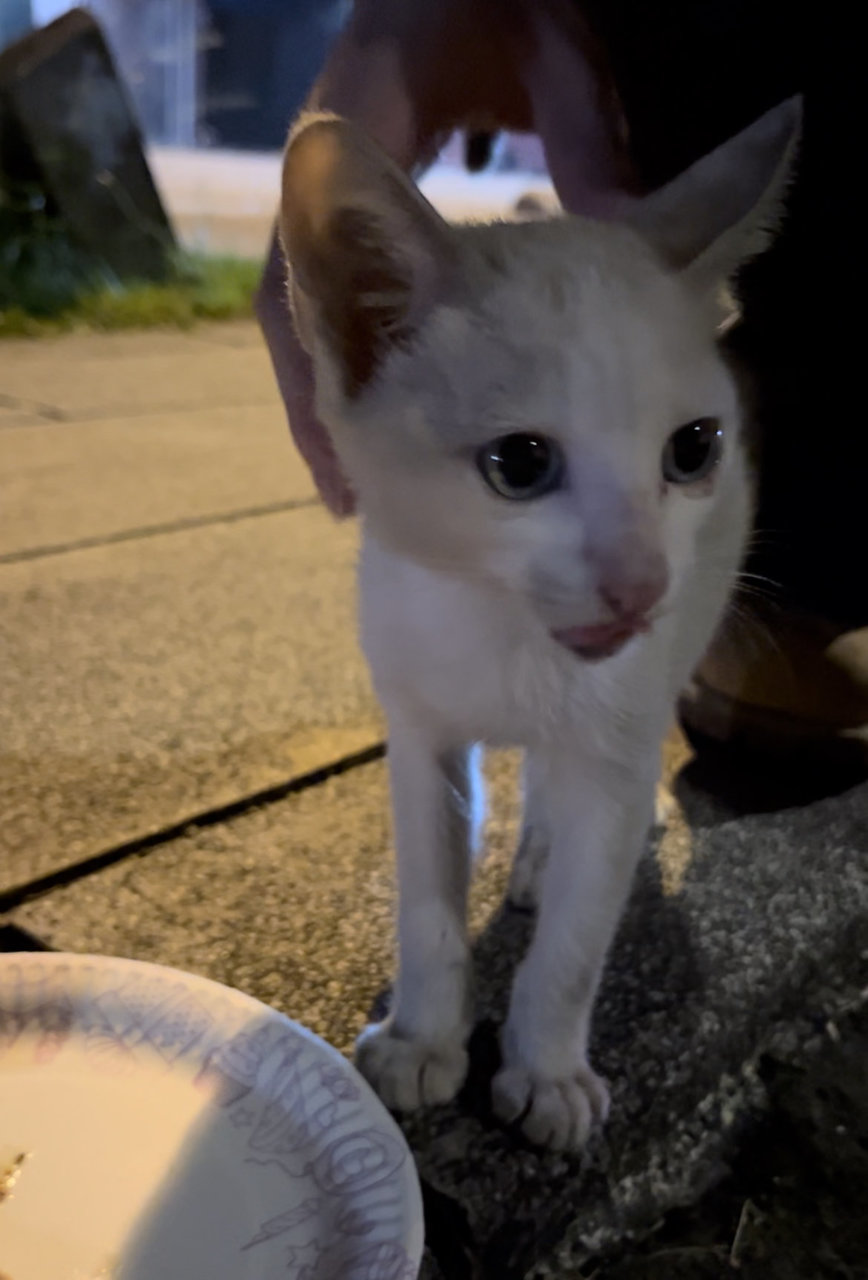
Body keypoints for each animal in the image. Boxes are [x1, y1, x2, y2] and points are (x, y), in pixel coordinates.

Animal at [279, 99, 803, 1152]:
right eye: (518, 465)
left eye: (693, 449)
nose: (640, 584)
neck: (514, 647)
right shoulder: (419, 731)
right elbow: (430, 904)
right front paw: (423, 1038)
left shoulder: (618, 725)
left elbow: (576, 936)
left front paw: (548, 1071)